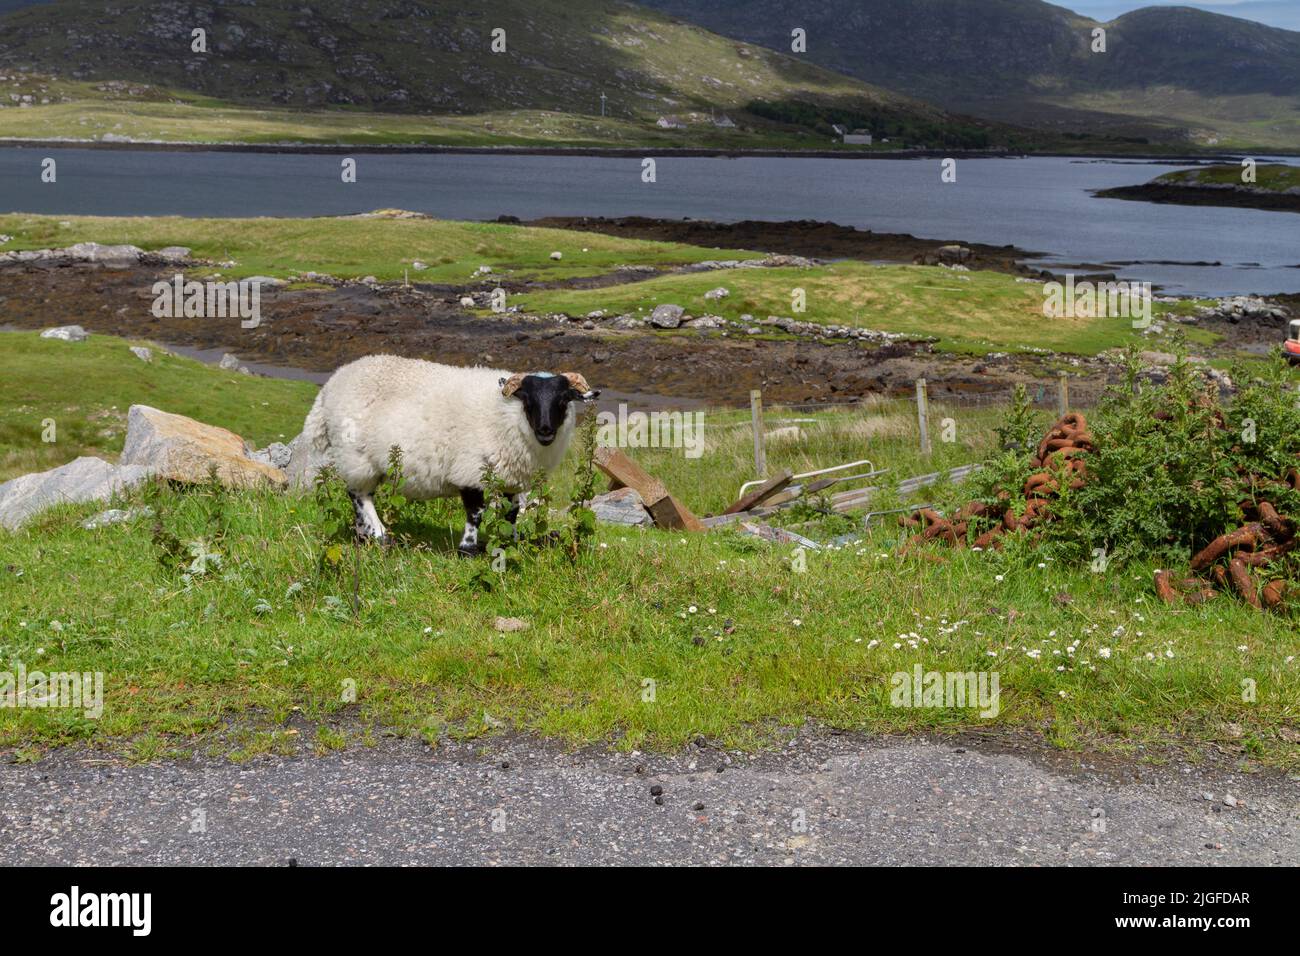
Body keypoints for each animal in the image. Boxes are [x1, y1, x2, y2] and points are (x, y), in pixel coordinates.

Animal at [301, 355, 599, 553]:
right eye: (528, 399)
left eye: (564, 399)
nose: (546, 431)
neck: (506, 414)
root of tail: (332, 383)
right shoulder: (471, 470)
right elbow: (475, 513)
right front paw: (468, 548)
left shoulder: (511, 479)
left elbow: (511, 513)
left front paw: (511, 542)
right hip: (356, 456)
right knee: (359, 495)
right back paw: (379, 534)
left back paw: (363, 534)